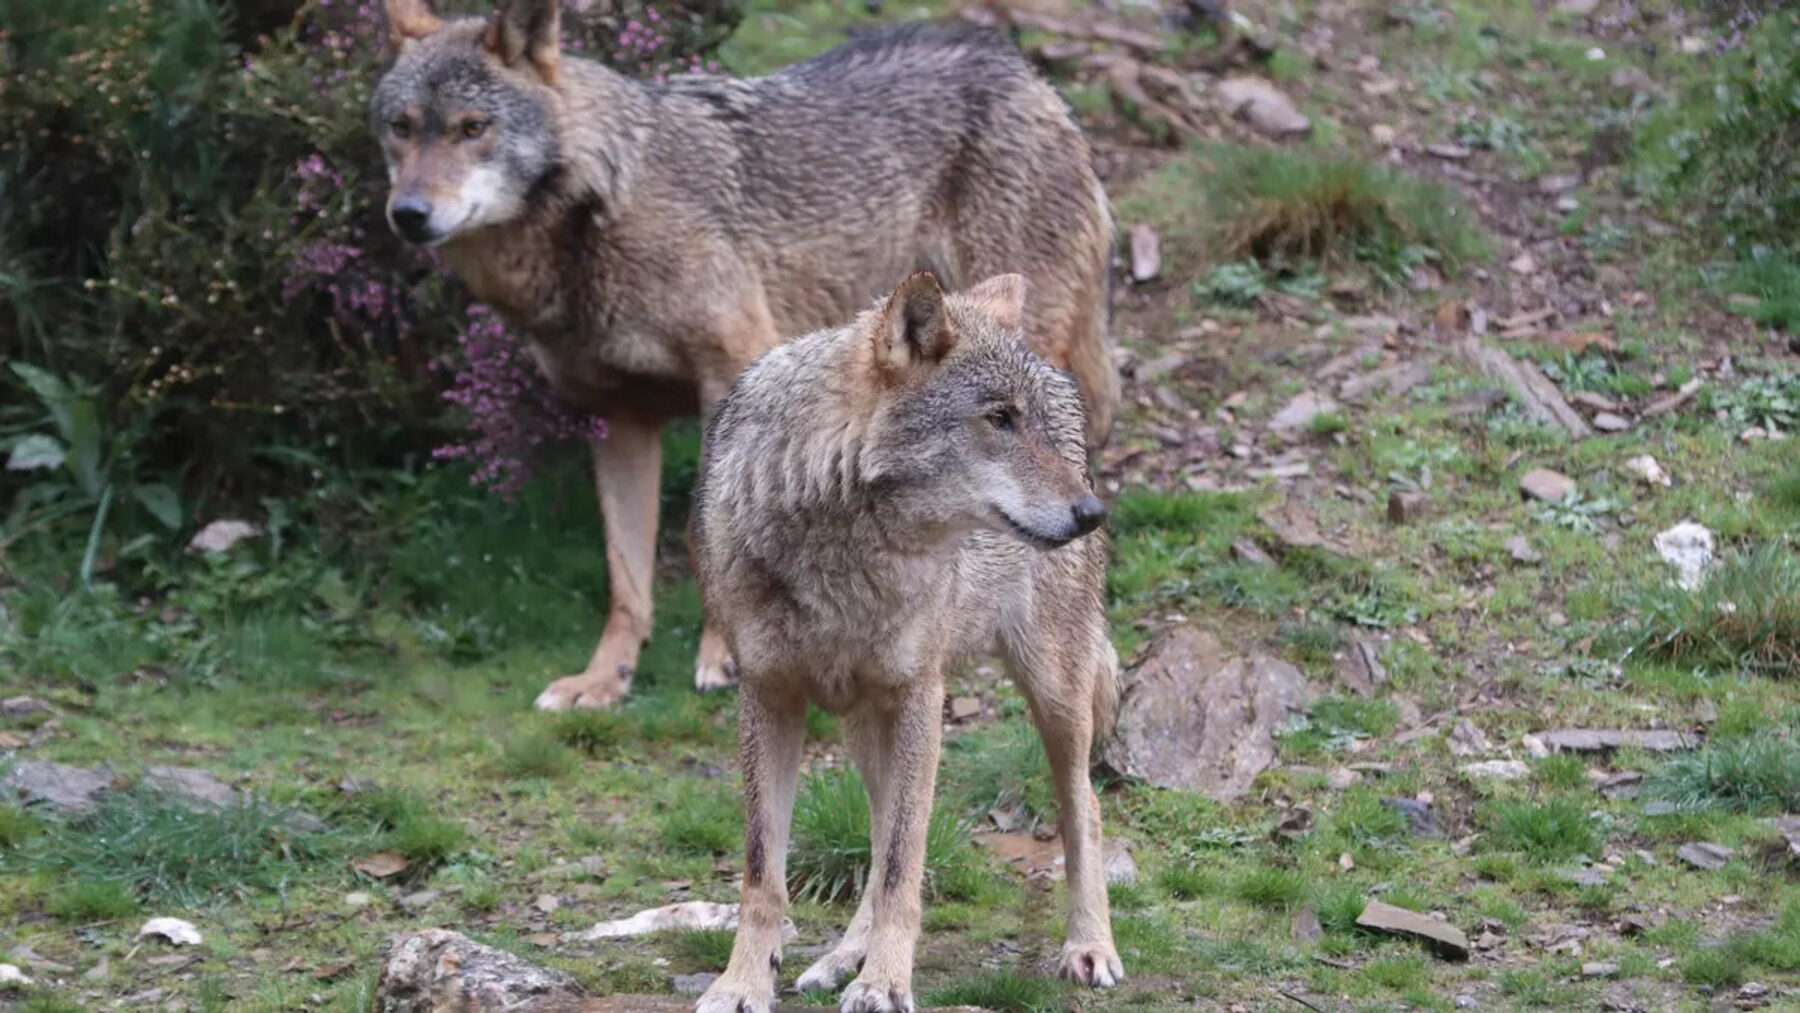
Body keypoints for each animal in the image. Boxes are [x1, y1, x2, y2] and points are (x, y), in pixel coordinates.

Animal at [371, 0, 1120, 711]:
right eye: (401, 128)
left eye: (472, 127)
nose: (407, 213)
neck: (600, 210)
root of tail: (1025, 71)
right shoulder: (617, 420)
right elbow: (625, 573)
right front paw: (605, 679)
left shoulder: (729, 369)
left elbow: (701, 533)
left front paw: (723, 654)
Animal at [692, 272, 1122, 1013]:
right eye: (1000, 418)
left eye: (1027, 421)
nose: (1093, 513)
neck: (840, 548)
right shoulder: (768, 695)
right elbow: (763, 871)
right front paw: (744, 982)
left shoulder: (922, 693)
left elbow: (902, 866)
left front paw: (886, 982)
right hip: (868, 721)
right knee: (877, 827)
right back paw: (840, 958)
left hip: (1053, 692)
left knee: (1083, 807)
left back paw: (1089, 945)